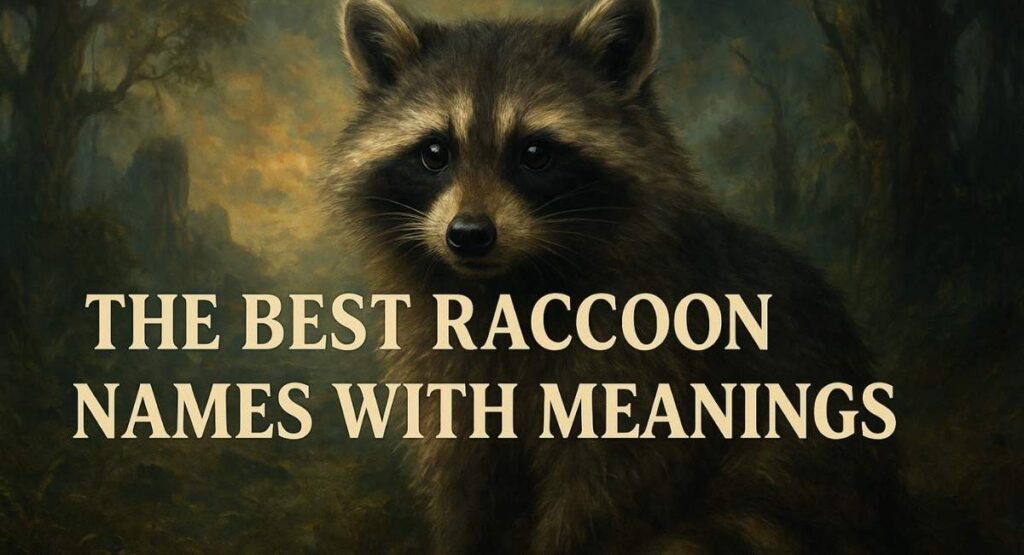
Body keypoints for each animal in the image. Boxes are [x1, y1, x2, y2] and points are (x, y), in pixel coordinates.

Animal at [323, 0, 902, 552]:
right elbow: (466, 490)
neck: (509, 287)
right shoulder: (446, 376)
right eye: (435, 153)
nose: (468, 234)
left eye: (534, 153)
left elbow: (604, 500)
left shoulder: (651, 364)